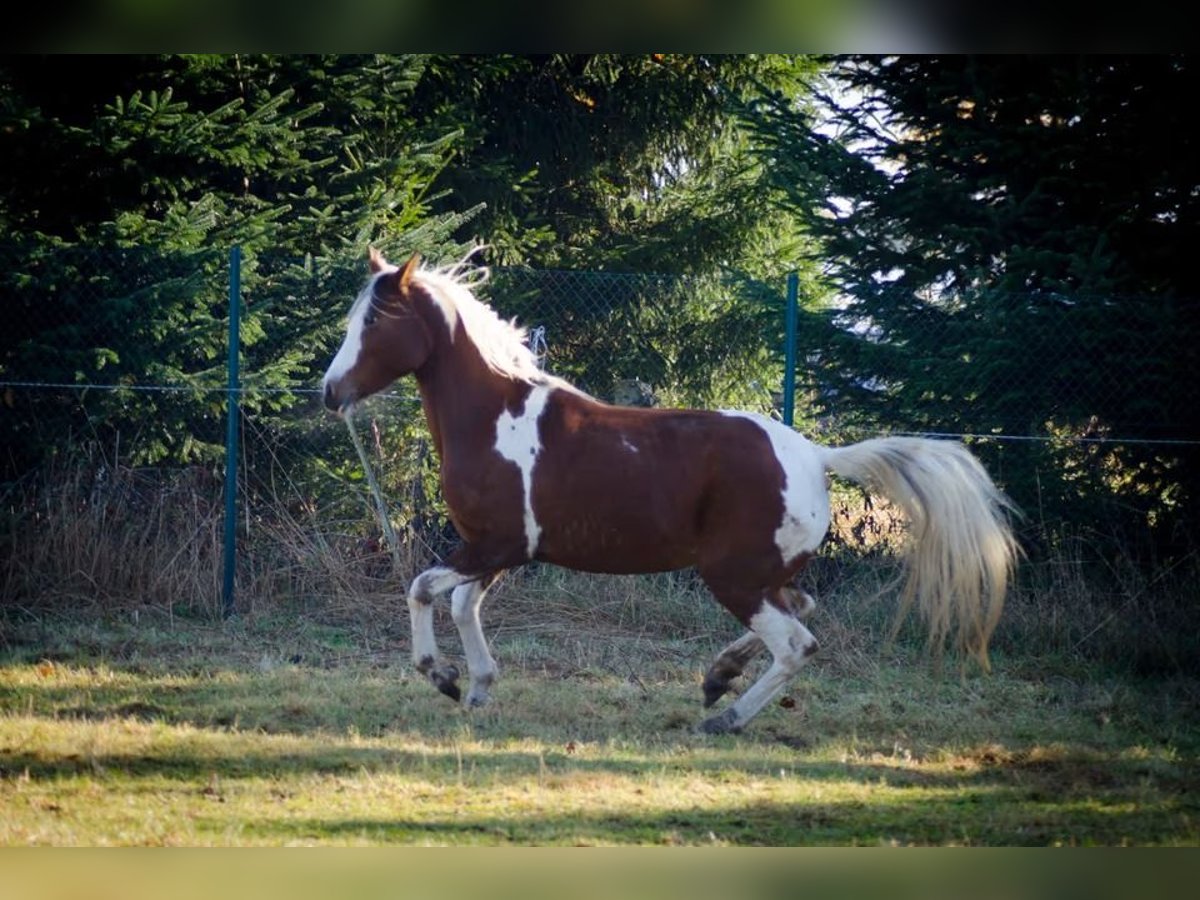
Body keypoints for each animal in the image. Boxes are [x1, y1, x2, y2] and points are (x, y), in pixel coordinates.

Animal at [324, 250, 1017, 734]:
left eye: (375, 322)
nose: (331, 392)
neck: (495, 417)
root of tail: (816, 456)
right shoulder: (497, 550)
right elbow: (463, 604)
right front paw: (477, 687)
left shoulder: (495, 545)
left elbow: (423, 589)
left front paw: (441, 677)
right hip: (760, 574)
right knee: (805, 606)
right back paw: (717, 678)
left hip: (732, 577)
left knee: (798, 642)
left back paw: (724, 717)